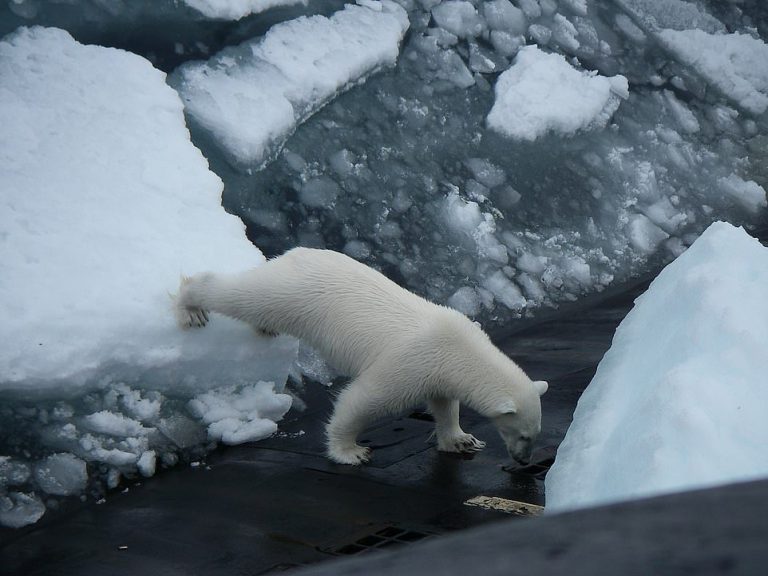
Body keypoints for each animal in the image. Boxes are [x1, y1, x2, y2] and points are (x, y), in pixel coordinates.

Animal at [175, 247, 548, 465]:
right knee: (243, 295)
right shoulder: (411, 363)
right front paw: (351, 451)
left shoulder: (438, 370)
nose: (524, 461)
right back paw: (191, 305)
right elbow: (363, 399)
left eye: (535, 433)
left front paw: (461, 440)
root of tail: (294, 253)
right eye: (524, 435)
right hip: (291, 294)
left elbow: (444, 403)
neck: (459, 349)